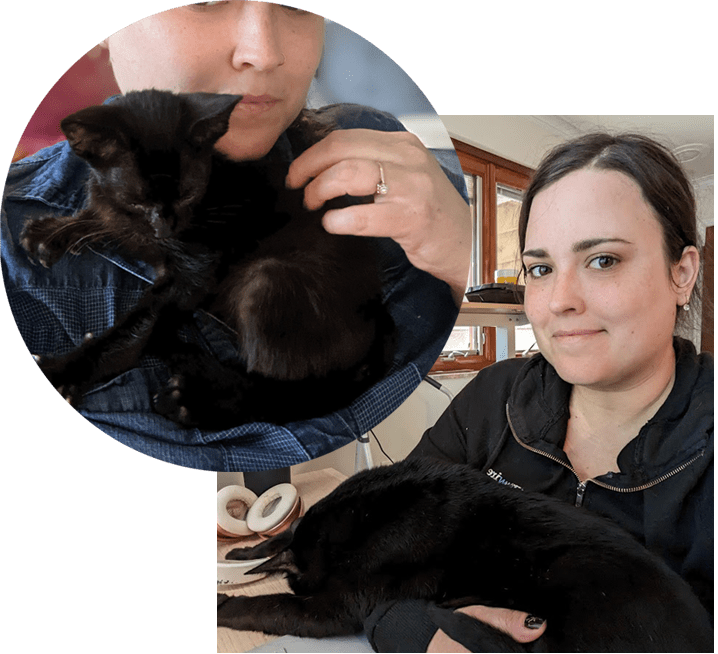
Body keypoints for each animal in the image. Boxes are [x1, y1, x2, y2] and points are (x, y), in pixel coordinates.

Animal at [19, 91, 396, 430]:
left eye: (187, 194)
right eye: (138, 200)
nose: (165, 228)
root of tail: (377, 310)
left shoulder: (194, 271)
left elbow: (134, 328)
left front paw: (66, 369)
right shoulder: (123, 217)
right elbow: (103, 217)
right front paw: (51, 232)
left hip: (267, 277)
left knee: (286, 392)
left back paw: (196, 398)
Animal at [218, 458, 716, 652]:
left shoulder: (335, 605)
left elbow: (272, 604)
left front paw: (223, 604)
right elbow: (277, 541)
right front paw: (244, 550)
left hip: (572, 570)